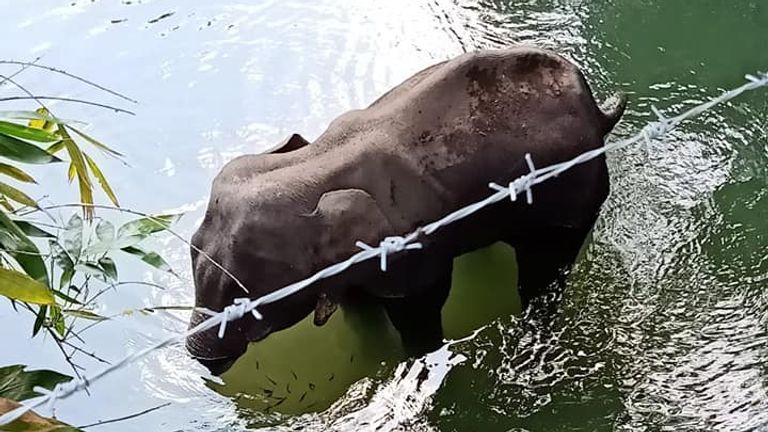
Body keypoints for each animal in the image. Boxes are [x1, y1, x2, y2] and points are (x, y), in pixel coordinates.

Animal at [186, 46, 626, 374]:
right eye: (192, 248)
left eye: (246, 297)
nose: (200, 358)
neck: (317, 164)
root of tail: (599, 112)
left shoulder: (411, 251)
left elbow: (422, 306)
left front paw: (414, 359)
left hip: (574, 193)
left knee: (544, 268)